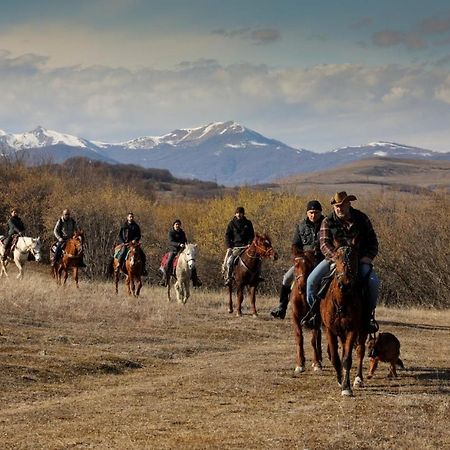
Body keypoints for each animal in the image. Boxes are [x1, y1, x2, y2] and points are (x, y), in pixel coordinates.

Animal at [318, 244, 368, 396]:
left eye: (354, 257)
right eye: (337, 257)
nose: (345, 283)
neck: (341, 301)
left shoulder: (352, 329)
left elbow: (347, 359)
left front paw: (346, 387)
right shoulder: (330, 330)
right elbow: (335, 358)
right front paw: (340, 380)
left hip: (362, 330)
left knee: (360, 351)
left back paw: (358, 379)